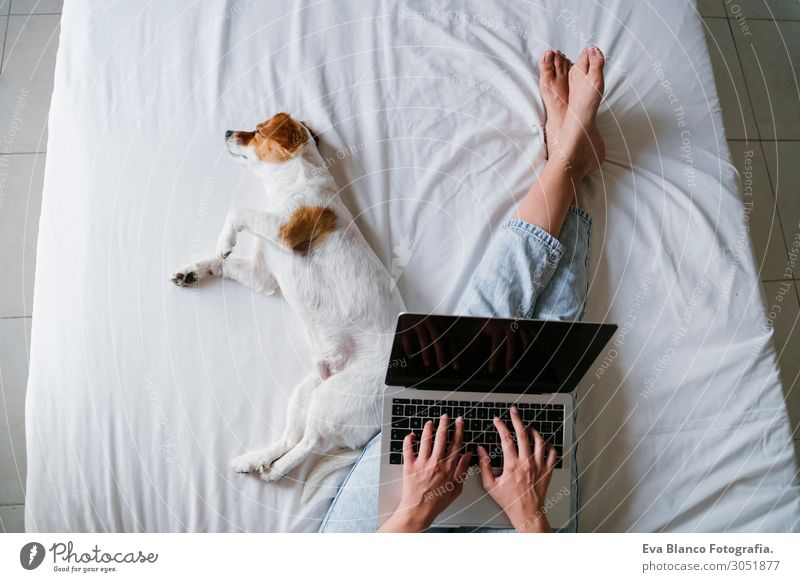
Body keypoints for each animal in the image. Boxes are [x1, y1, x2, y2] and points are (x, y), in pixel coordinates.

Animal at [171, 113, 404, 492]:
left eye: (257, 130)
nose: (226, 131)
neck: (288, 183)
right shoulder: (262, 275)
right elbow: (222, 264)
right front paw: (195, 270)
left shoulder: (285, 229)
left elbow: (238, 212)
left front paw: (224, 241)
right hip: (307, 390)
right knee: (291, 437)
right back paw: (256, 460)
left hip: (332, 401)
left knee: (310, 442)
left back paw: (277, 469)